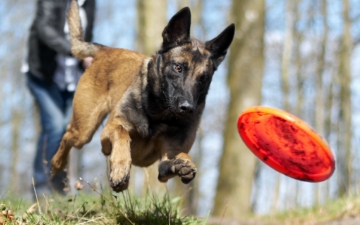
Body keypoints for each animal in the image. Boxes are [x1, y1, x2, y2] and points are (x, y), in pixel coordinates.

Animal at [51, 0, 236, 192]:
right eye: (178, 68)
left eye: (203, 78)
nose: (187, 108)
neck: (159, 114)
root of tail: (107, 50)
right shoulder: (109, 131)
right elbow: (121, 131)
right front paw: (120, 167)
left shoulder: (167, 157)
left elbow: (175, 159)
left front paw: (183, 163)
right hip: (84, 130)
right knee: (68, 136)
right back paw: (57, 164)